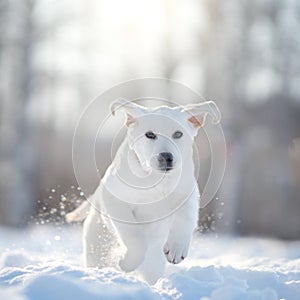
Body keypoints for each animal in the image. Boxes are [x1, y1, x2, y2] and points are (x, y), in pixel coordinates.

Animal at [67, 99, 220, 284]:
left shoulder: (187, 194)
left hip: (154, 263)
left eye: (178, 134)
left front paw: (177, 247)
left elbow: (186, 218)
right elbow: (134, 237)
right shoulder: (116, 202)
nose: (166, 157)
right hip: (96, 244)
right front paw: (126, 262)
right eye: (150, 135)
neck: (155, 179)